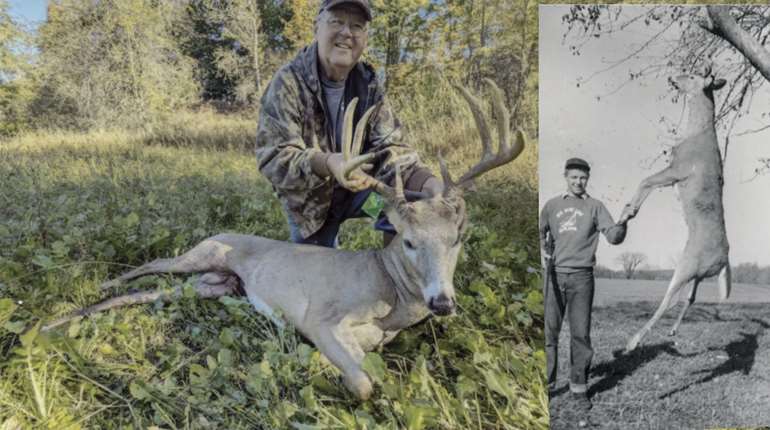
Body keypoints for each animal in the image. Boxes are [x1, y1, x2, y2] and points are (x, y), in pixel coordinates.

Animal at [42, 79, 526, 400]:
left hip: (212, 286)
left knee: (152, 291)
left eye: (457, 239)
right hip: (202, 253)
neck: (389, 292)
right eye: (408, 241)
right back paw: (92, 289)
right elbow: (364, 383)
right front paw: (320, 368)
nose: (442, 302)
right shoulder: (321, 317)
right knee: (151, 265)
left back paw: (61, 318)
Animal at [619, 65, 731, 353]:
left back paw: (634, 341)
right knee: (690, 297)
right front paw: (628, 212)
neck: (696, 132)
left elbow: (646, 180)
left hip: (687, 264)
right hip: (699, 272)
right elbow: (648, 183)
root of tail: (723, 260)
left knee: (670, 298)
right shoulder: (674, 172)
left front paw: (627, 213)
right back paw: (672, 330)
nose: (673, 77)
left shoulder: (679, 169)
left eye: (692, 76)